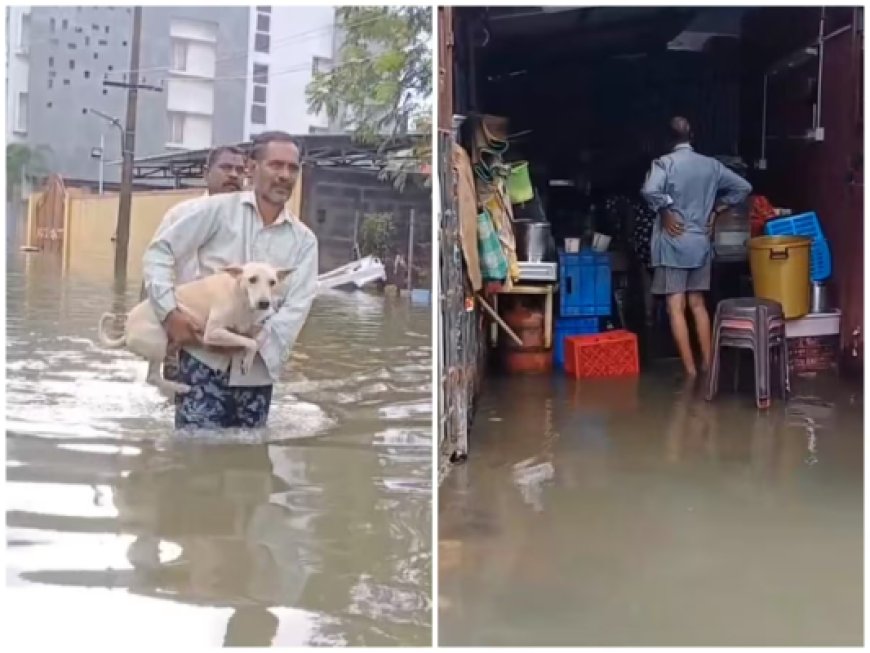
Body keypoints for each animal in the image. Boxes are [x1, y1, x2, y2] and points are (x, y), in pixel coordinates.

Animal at [98, 262, 294, 394]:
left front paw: (248, 358)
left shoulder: (255, 325)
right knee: (152, 377)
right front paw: (246, 361)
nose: (264, 303)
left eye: (272, 282)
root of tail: (126, 331)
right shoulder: (213, 332)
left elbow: (258, 338)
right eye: (252, 279)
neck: (240, 295)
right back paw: (180, 387)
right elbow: (250, 342)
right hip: (159, 341)